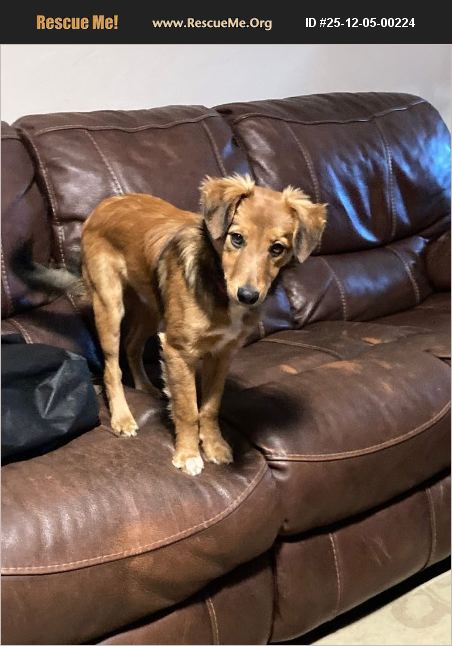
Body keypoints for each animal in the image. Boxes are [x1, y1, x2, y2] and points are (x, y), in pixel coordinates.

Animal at [16, 174, 327, 475]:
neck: (219, 284)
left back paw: (146, 386)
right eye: (237, 238)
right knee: (112, 368)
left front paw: (214, 446)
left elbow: (210, 407)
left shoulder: (222, 353)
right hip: (109, 304)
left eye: (277, 249)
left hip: (151, 306)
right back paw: (122, 417)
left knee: (132, 346)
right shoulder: (178, 350)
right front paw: (188, 455)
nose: (248, 296)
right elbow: (188, 409)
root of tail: (105, 204)